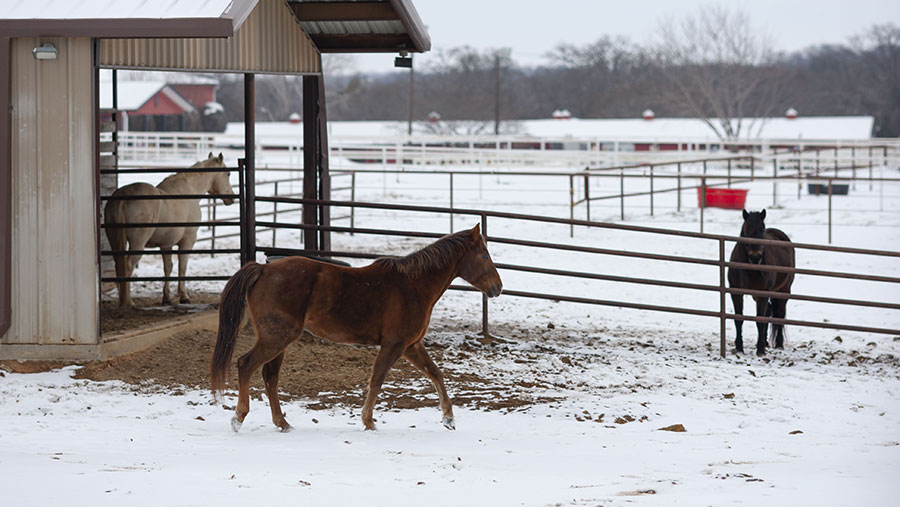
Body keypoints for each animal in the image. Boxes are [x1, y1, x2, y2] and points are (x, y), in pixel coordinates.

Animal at [104, 153, 236, 308]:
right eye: (228, 174)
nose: (232, 198)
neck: (188, 192)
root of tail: (123, 197)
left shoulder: (166, 244)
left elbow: (168, 267)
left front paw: (166, 298)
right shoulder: (187, 240)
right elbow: (182, 266)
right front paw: (184, 296)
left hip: (114, 240)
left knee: (119, 265)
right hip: (138, 243)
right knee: (128, 266)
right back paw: (128, 301)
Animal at [213, 225, 506, 432]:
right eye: (484, 255)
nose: (498, 287)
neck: (414, 286)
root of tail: (262, 269)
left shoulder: (411, 346)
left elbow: (435, 373)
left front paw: (448, 418)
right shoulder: (394, 344)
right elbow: (377, 379)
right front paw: (368, 421)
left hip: (280, 340)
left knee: (270, 376)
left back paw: (282, 423)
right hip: (275, 338)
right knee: (245, 365)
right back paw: (238, 418)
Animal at [732, 208, 796, 356]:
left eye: (762, 231)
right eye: (746, 231)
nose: (756, 257)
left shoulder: (763, 293)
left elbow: (760, 321)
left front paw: (760, 350)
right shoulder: (736, 293)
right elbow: (739, 319)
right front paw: (739, 348)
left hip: (783, 291)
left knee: (779, 315)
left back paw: (778, 344)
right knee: (769, 311)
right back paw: (765, 342)